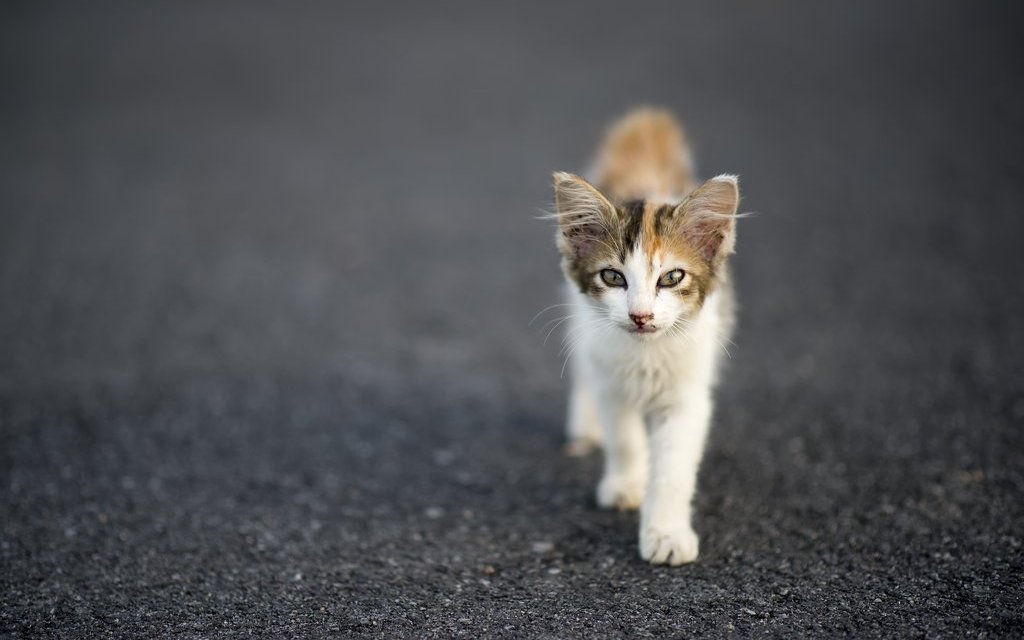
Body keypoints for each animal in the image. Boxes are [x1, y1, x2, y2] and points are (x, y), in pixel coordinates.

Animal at [548, 105, 741, 565]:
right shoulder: (610, 381)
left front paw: (666, 533)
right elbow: (625, 440)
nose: (640, 316)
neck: (646, 352)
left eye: (672, 277)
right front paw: (625, 486)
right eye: (612, 277)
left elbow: (673, 469)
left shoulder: (688, 395)